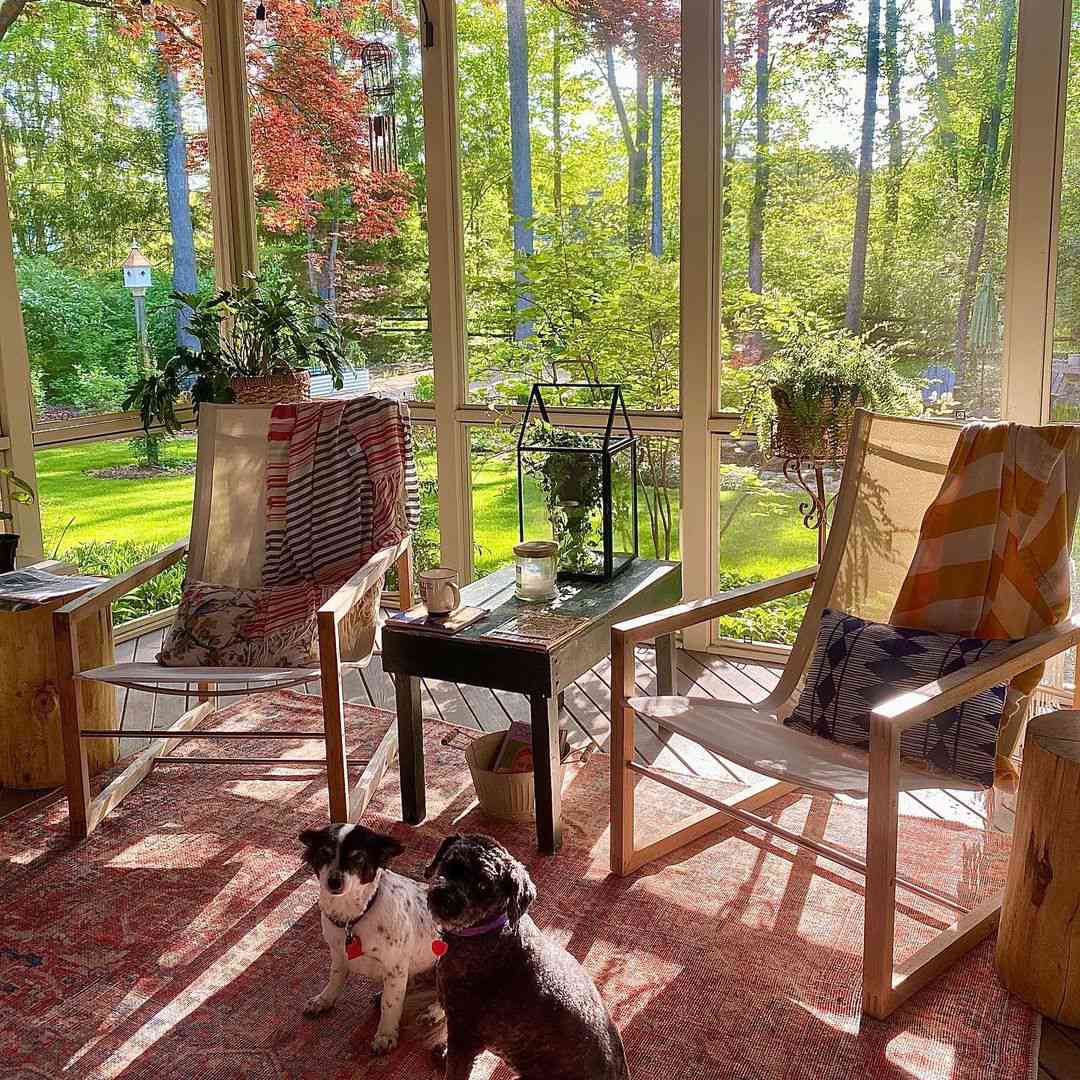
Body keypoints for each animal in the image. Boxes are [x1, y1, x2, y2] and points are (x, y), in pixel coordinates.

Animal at [298, 825, 440, 1054]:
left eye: (358, 857)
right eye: (324, 852)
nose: (334, 881)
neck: (352, 918)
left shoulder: (395, 968)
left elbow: (390, 1005)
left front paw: (385, 1034)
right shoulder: (338, 956)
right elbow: (334, 979)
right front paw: (324, 1000)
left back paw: (433, 1012)